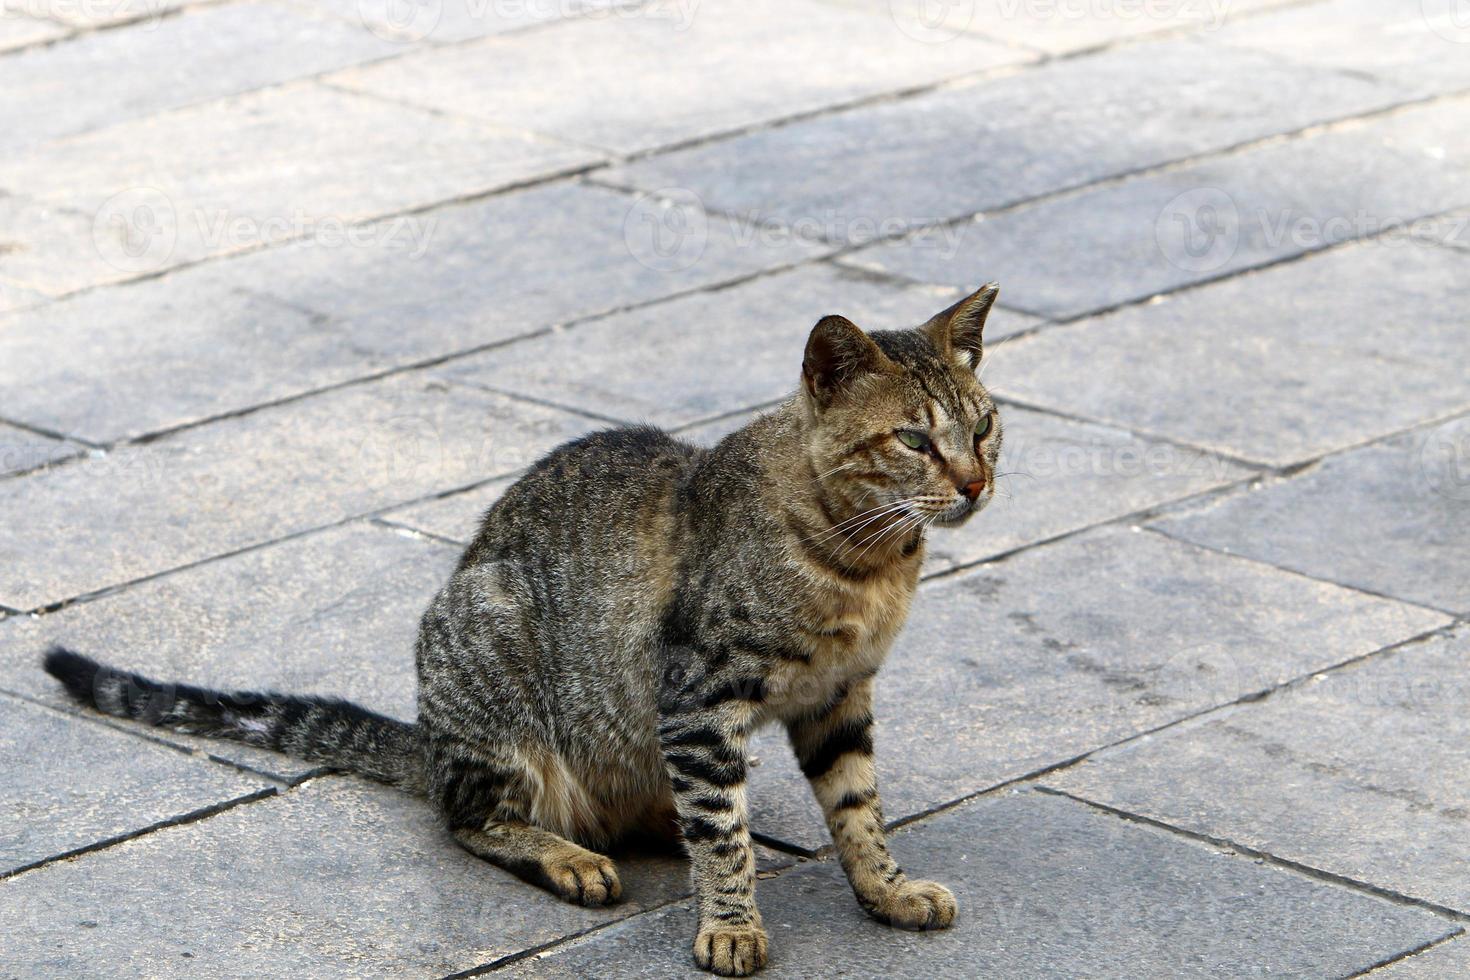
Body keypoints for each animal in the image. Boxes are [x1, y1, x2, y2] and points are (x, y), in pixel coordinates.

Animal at [48, 279, 1011, 975]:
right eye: (913, 441)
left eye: (985, 426)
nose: (975, 482)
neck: (871, 565)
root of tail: (427, 740)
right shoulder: (698, 694)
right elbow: (726, 836)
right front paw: (732, 924)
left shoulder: (838, 697)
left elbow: (858, 807)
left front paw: (885, 889)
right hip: (492, 655)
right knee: (468, 815)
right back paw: (568, 854)